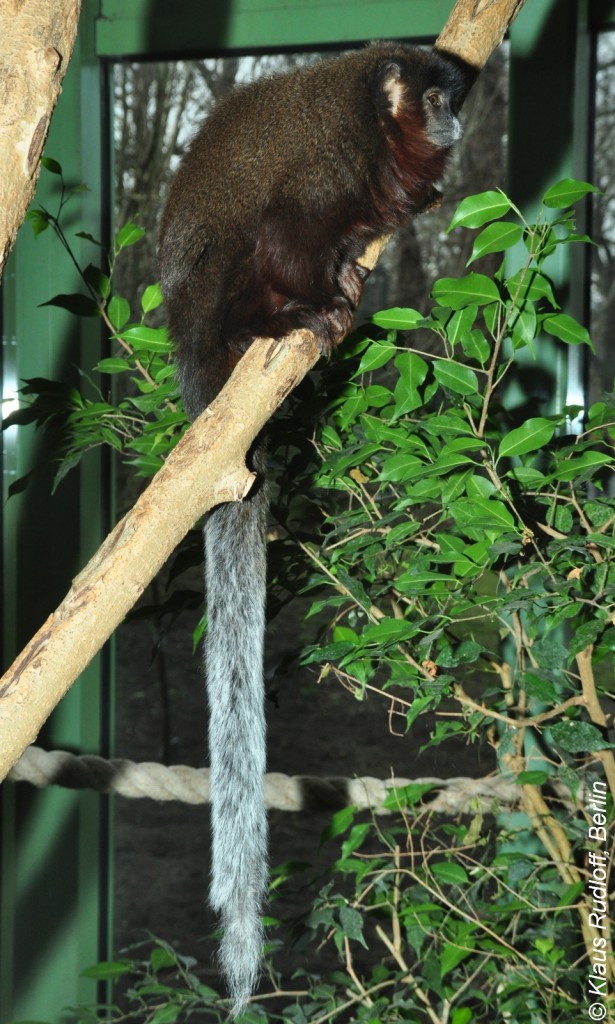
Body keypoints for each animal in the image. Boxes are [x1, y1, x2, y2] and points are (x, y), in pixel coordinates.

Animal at [158, 41, 470, 1015]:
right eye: (435, 98)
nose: (453, 121)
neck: (372, 121)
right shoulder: (332, 162)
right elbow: (289, 226)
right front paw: (315, 301)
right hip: (216, 292)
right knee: (254, 248)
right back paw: (284, 320)